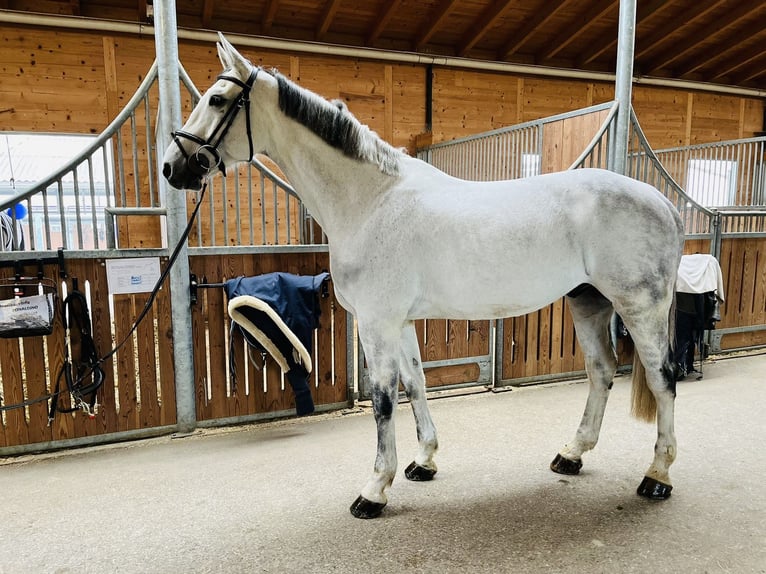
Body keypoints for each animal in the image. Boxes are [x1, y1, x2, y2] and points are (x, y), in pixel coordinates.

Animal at [165, 35, 688, 520]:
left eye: (217, 100)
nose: (173, 167)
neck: (372, 201)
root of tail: (662, 202)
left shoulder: (377, 322)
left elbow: (382, 399)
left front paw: (374, 490)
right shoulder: (399, 322)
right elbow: (415, 385)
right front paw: (424, 462)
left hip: (639, 306)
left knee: (662, 378)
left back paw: (657, 476)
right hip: (588, 300)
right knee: (601, 371)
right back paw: (572, 455)